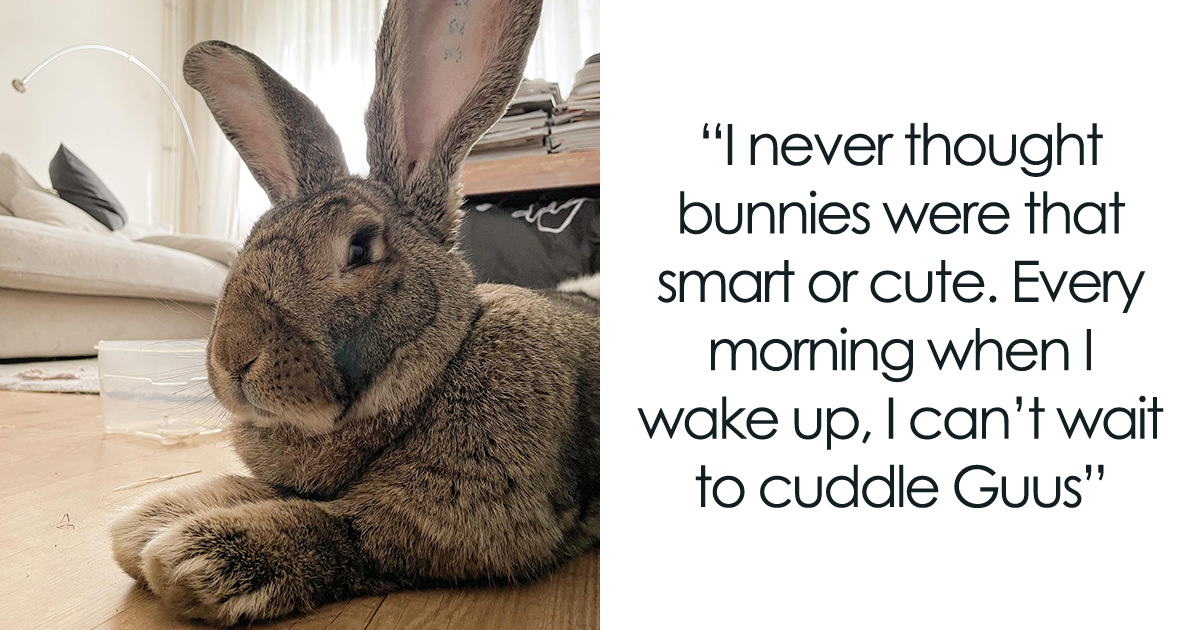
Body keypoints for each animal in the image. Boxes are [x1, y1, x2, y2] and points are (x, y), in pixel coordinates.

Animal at [108, 0, 599, 624]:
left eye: (360, 249)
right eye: (248, 241)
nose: (233, 355)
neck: (431, 379)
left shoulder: (443, 524)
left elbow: (332, 525)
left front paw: (195, 556)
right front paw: (149, 521)